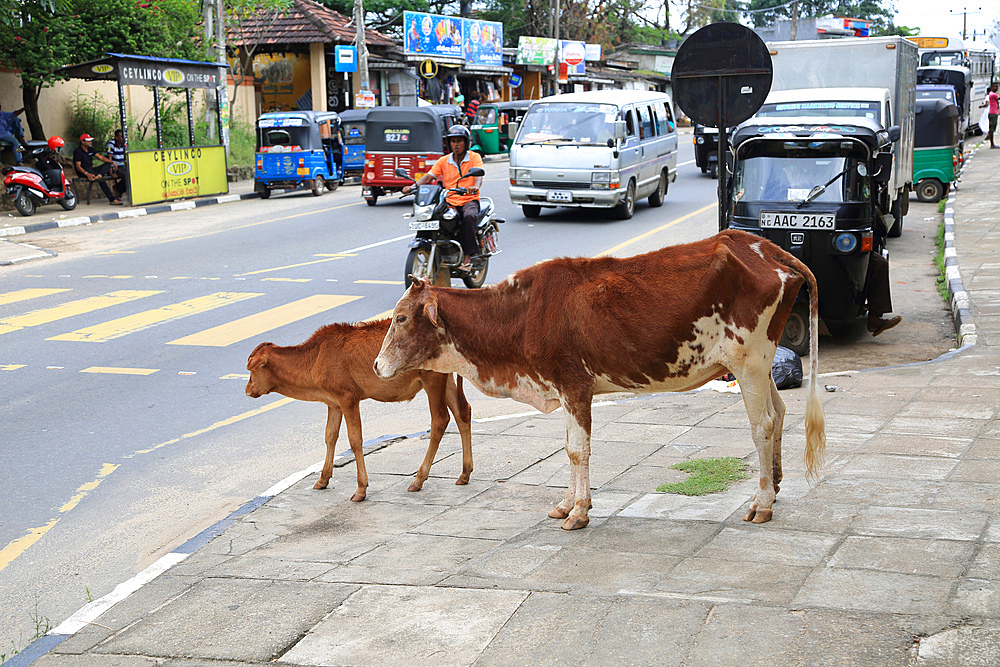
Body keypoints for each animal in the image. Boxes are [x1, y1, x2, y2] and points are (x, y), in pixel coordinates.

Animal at [246, 318, 472, 500]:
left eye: (251, 369)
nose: (247, 389)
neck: (315, 358)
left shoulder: (348, 398)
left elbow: (355, 440)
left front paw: (361, 489)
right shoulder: (333, 403)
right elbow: (330, 436)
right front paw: (322, 479)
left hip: (432, 378)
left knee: (440, 420)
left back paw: (418, 479)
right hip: (445, 377)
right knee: (463, 412)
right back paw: (464, 473)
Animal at [376, 231, 828, 532]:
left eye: (401, 318)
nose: (378, 366)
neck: (523, 313)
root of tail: (764, 248)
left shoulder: (575, 386)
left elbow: (578, 451)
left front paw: (578, 511)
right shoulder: (564, 389)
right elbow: (568, 449)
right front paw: (566, 504)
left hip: (748, 362)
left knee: (762, 424)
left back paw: (762, 502)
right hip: (759, 366)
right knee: (780, 412)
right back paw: (776, 485)